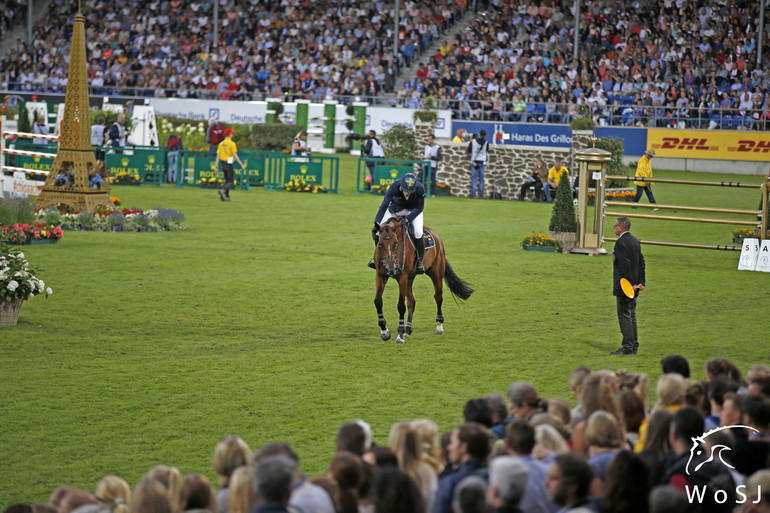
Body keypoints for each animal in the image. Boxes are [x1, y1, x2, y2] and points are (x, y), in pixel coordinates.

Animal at [374, 216, 474, 344]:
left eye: (396, 243)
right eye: (380, 244)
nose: (391, 269)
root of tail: (435, 234)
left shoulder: (402, 277)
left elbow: (401, 305)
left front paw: (400, 334)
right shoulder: (381, 275)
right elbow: (378, 301)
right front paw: (384, 331)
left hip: (436, 274)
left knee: (438, 297)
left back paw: (439, 326)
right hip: (409, 278)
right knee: (412, 302)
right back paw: (408, 329)